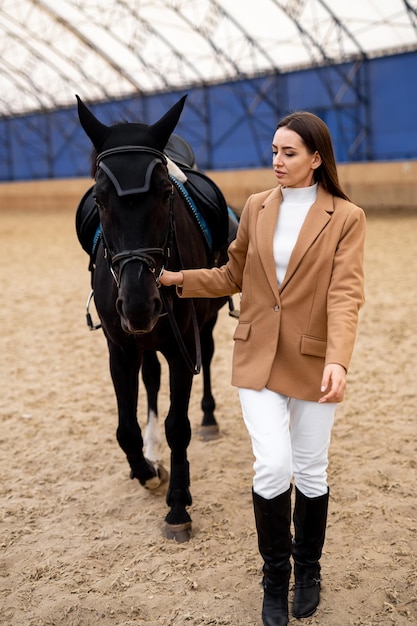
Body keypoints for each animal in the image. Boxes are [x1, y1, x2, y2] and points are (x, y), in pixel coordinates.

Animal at [75, 94, 234, 540]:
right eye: (99, 199)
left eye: (166, 194)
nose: (139, 304)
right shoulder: (121, 348)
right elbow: (125, 428)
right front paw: (147, 469)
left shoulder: (182, 348)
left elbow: (178, 425)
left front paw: (178, 505)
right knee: (150, 380)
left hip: (203, 324)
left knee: (207, 359)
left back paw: (209, 418)